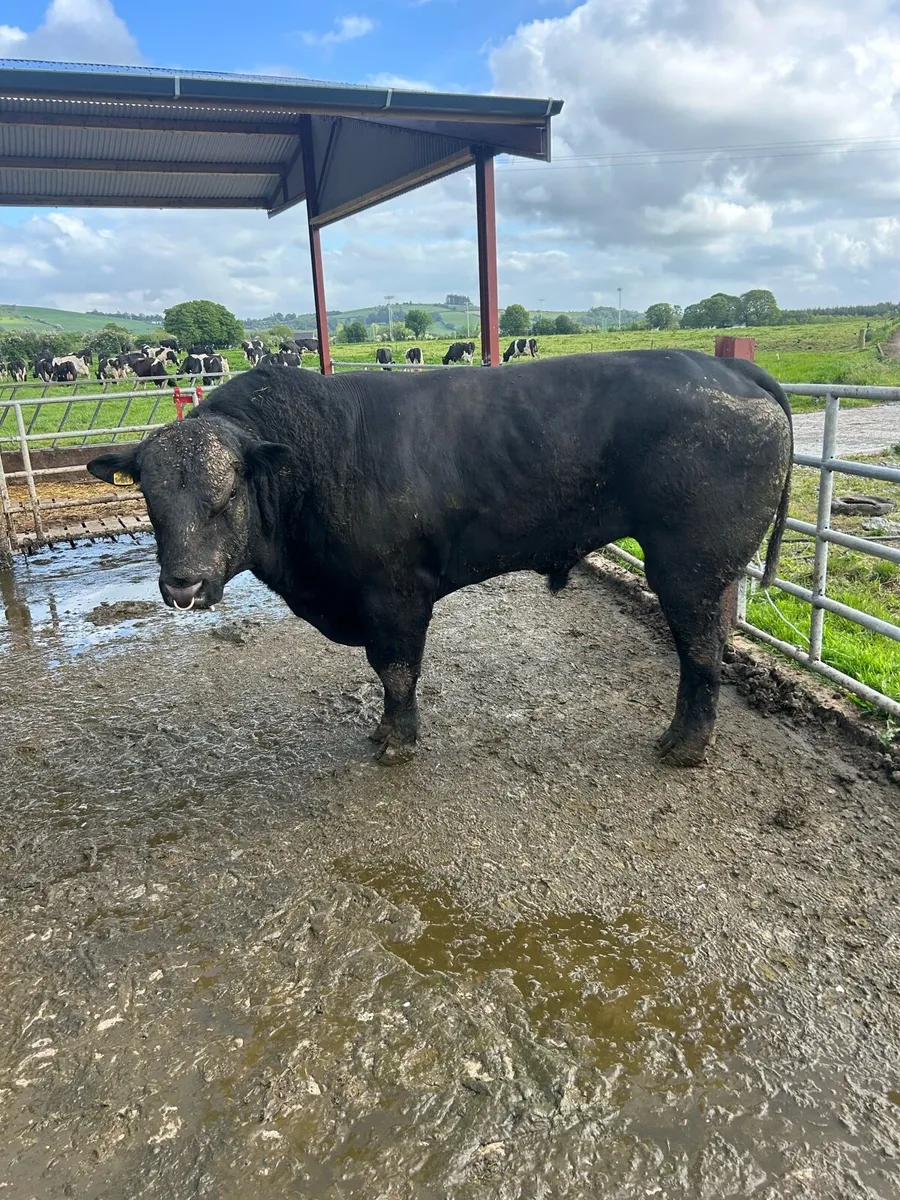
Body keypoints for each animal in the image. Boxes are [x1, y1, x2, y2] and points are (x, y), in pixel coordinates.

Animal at [87, 350, 792, 769]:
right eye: (149, 496)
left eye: (228, 490)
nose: (183, 584)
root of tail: (725, 368)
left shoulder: (395, 592)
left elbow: (396, 670)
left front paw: (396, 741)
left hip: (688, 565)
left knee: (699, 648)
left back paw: (684, 745)